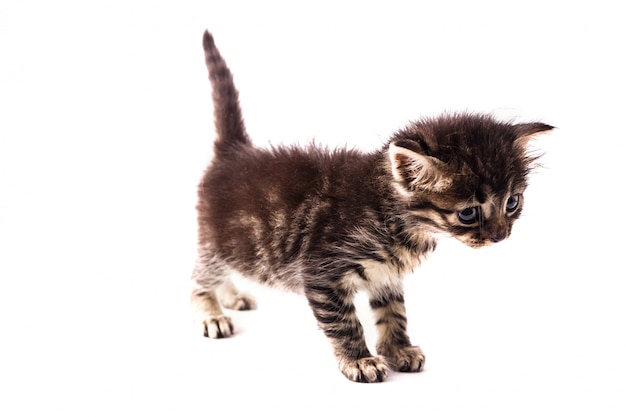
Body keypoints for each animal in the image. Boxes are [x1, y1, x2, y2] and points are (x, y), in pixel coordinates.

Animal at [190, 30, 552, 384]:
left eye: (512, 202)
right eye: (468, 213)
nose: (501, 236)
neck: (390, 214)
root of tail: (234, 152)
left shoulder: (386, 275)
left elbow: (394, 313)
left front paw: (398, 350)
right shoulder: (321, 273)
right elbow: (345, 323)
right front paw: (360, 360)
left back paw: (231, 297)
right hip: (217, 240)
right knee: (199, 277)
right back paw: (213, 313)